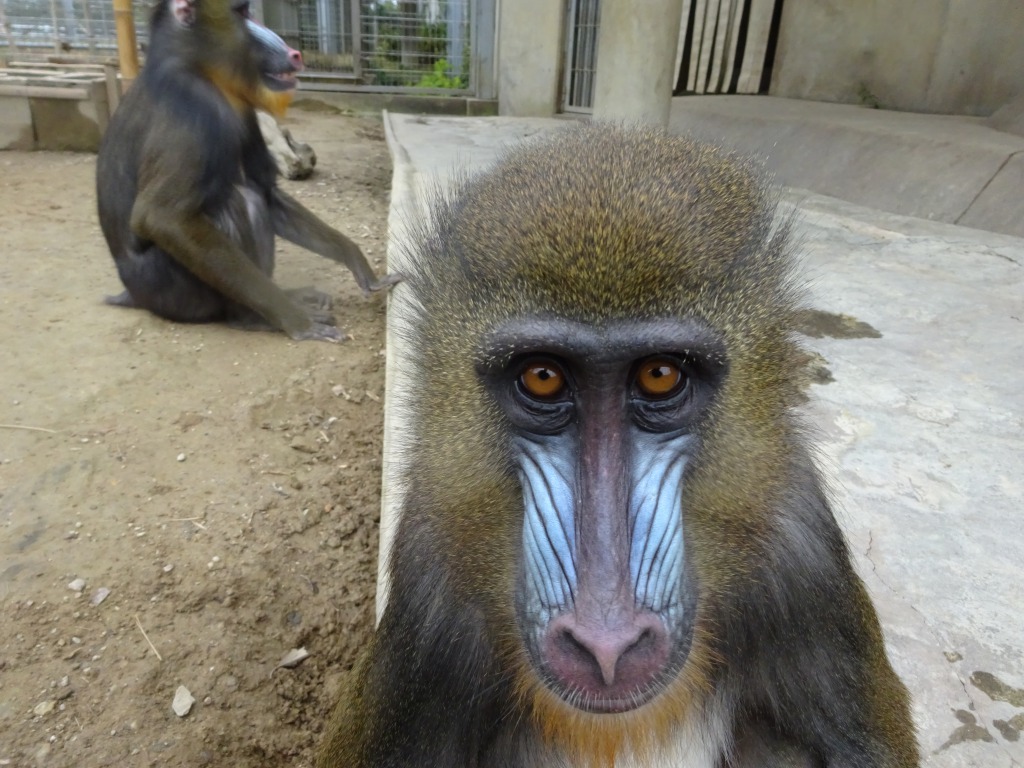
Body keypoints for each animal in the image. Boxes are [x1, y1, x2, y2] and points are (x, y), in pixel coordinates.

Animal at [96, 0, 399, 342]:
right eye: (241, 12)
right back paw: (251, 317)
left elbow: (267, 191)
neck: (199, 66)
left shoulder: (242, 109)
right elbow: (161, 216)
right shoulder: (192, 108)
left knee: (254, 196)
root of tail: (133, 294)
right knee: (240, 201)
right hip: (176, 291)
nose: (294, 53)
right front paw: (299, 321)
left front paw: (358, 263)